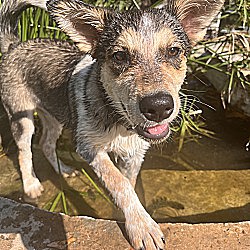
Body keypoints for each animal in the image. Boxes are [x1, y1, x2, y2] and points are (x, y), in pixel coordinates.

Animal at [0, 0, 223, 249]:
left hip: (55, 115)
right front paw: (142, 226)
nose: (158, 106)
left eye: (173, 51)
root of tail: (15, 46)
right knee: (25, 150)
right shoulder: (89, 148)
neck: (119, 122)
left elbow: (129, 184)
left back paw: (64, 170)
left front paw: (128, 216)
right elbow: (120, 183)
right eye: (119, 56)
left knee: (46, 143)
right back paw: (31, 184)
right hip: (22, 116)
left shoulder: (134, 154)